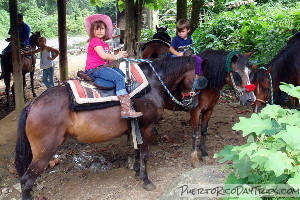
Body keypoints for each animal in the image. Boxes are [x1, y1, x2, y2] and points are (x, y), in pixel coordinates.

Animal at [14, 56, 202, 200]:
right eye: (199, 79)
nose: (193, 104)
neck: (152, 83)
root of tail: (32, 105)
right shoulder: (148, 127)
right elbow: (144, 154)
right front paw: (146, 180)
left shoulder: (137, 127)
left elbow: (137, 151)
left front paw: (137, 172)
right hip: (44, 152)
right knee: (26, 181)